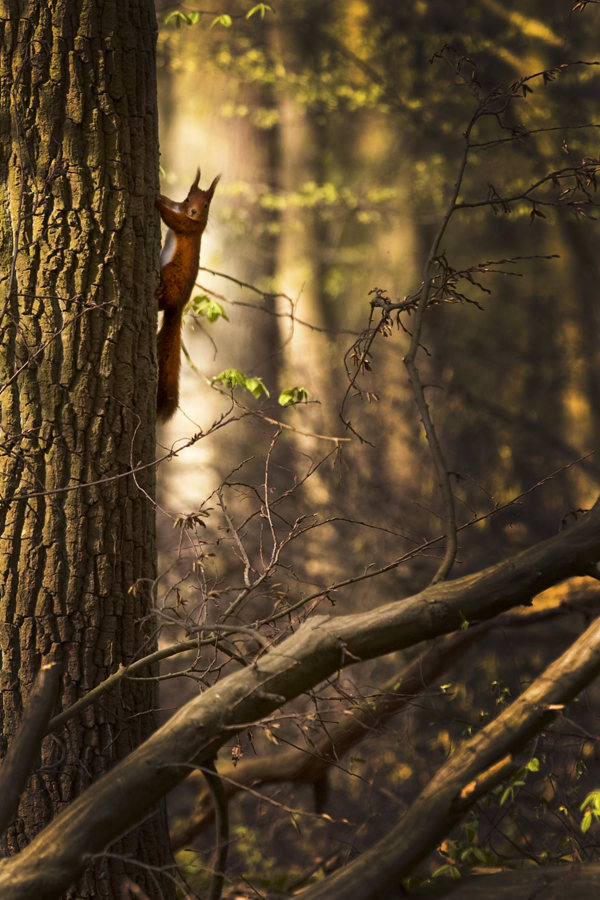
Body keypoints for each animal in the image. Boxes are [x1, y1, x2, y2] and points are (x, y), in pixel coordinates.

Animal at [155, 169, 220, 422]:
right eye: (187, 199)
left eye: (207, 205)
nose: (193, 212)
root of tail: (179, 305)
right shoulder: (179, 209)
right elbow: (171, 206)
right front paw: (161, 197)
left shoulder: (190, 227)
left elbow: (174, 220)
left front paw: (156, 204)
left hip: (171, 274)